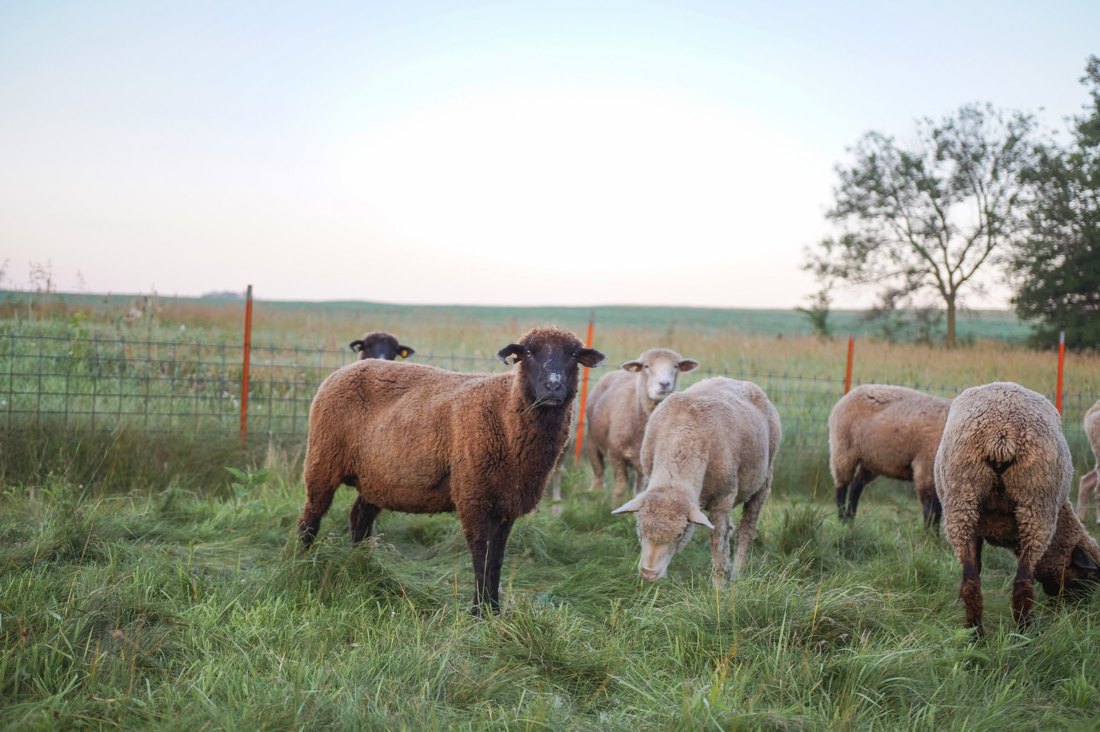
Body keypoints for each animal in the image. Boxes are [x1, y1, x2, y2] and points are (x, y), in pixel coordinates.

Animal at [298, 325, 606, 614]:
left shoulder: (506, 503)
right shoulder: (473, 495)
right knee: (311, 516)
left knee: (359, 517)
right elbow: (481, 555)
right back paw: (302, 563)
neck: (505, 412)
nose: (553, 386)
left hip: (377, 478)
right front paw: (478, 613)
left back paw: (360, 563)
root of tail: (346, 370)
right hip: (322, 459)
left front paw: (494, 610)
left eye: (574, 355)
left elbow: (497, 559)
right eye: (528, 352)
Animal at [585, 348, 699, 499]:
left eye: (675, 366)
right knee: (598, 471)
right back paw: (595, 492)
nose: (664, 384)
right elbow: (620, 489)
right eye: (647, 366)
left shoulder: (644, 465)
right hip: (592, 441)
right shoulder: (615, 455)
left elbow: (638, 490)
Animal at [612, 377, 780, 586]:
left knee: (746, 529)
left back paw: (737, 574)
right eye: (640, 531)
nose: (649, 574)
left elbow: (717, 541)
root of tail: (737, 380)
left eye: (679, 534)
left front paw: (719, 586)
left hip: (764, 481)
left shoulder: (723, 498)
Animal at [828, 384, 950, 529]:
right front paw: (930, 534)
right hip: (843, 449)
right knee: (842, 485)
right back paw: (842, 521)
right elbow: (932, 511)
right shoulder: (927, 467)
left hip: (871, 459)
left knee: (856, 485)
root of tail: (852, 392)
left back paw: (850, 520)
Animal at [935, 381, 1100, 634]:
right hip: (1034, 505)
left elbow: (976, 567)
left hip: (963, 503)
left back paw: (979, 632)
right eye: (1087, 579)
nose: (1078, 611)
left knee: (976, 581)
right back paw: (1021, 632)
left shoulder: (977, 530)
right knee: (1022, 582)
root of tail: (1001, 435)